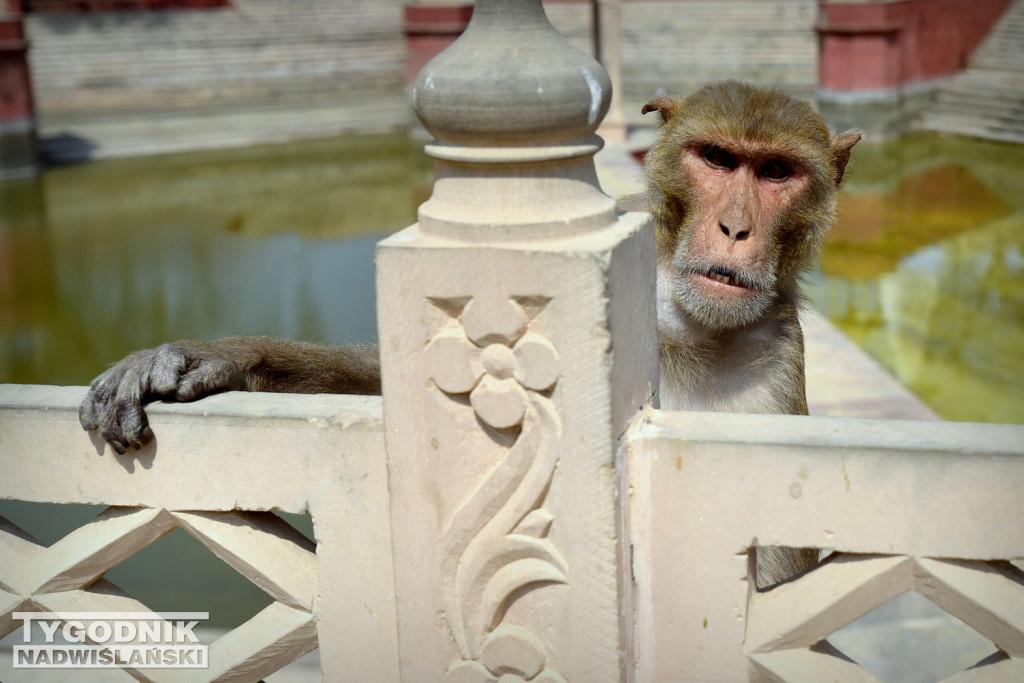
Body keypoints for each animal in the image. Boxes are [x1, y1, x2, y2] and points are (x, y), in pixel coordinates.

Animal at [79, 82, 860, 589]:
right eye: (719, 160)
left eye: (778, 172)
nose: (736, 228)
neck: (685, 325)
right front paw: (212, 358)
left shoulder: (774, 374)